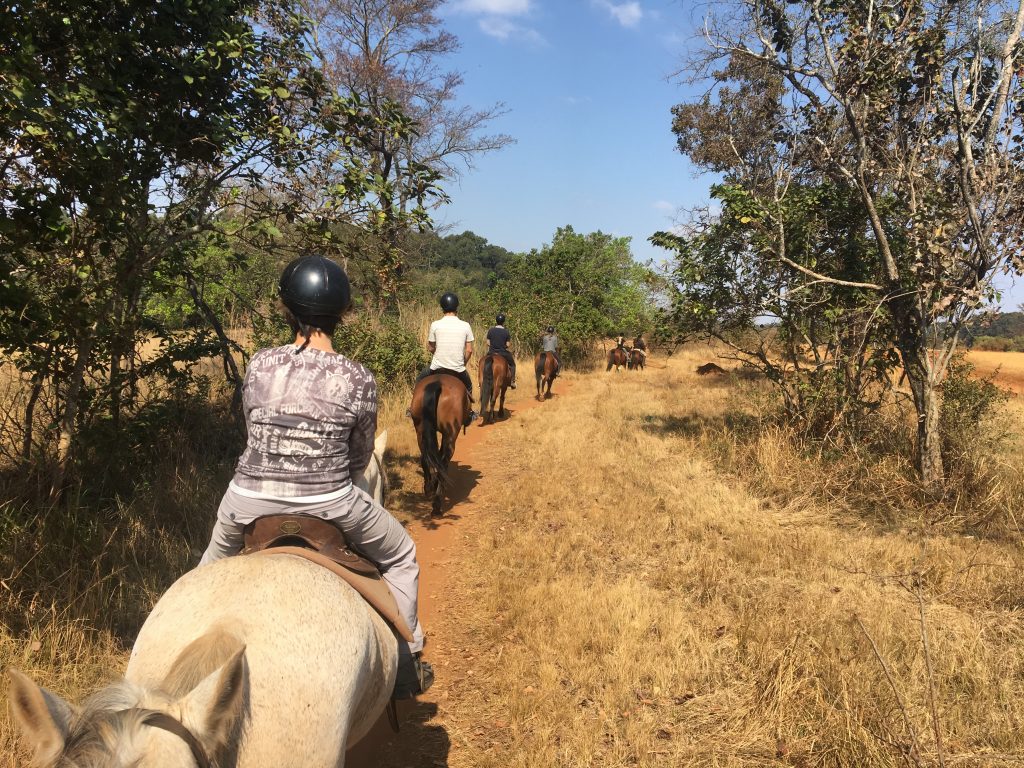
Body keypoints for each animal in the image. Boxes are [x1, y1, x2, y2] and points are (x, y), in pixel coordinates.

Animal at [409, 374, 468, 518]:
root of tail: (437, 383)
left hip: (420, 430)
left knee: (426, 458)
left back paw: (429, 489)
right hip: (451, 432)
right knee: (443, 462)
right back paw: (436, 505)